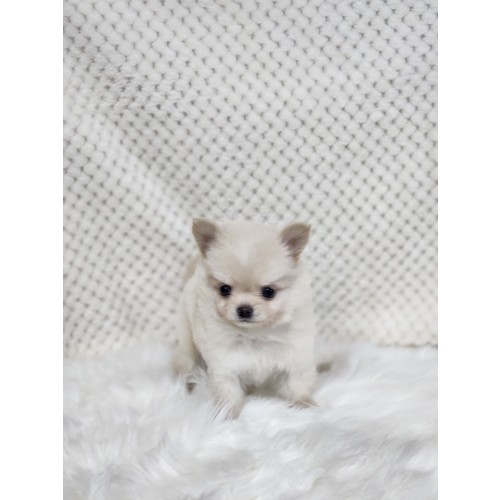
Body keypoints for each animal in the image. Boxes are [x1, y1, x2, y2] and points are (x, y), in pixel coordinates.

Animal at [174, 219, 317, 418]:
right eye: (224, 289)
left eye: (268, 292)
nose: (244, 309)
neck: (255, 334)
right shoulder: (225, 366)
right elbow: (228, 394)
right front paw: (226, 416)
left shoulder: (296, 359)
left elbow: (298, 384)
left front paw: (303, 405)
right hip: (188, 345)